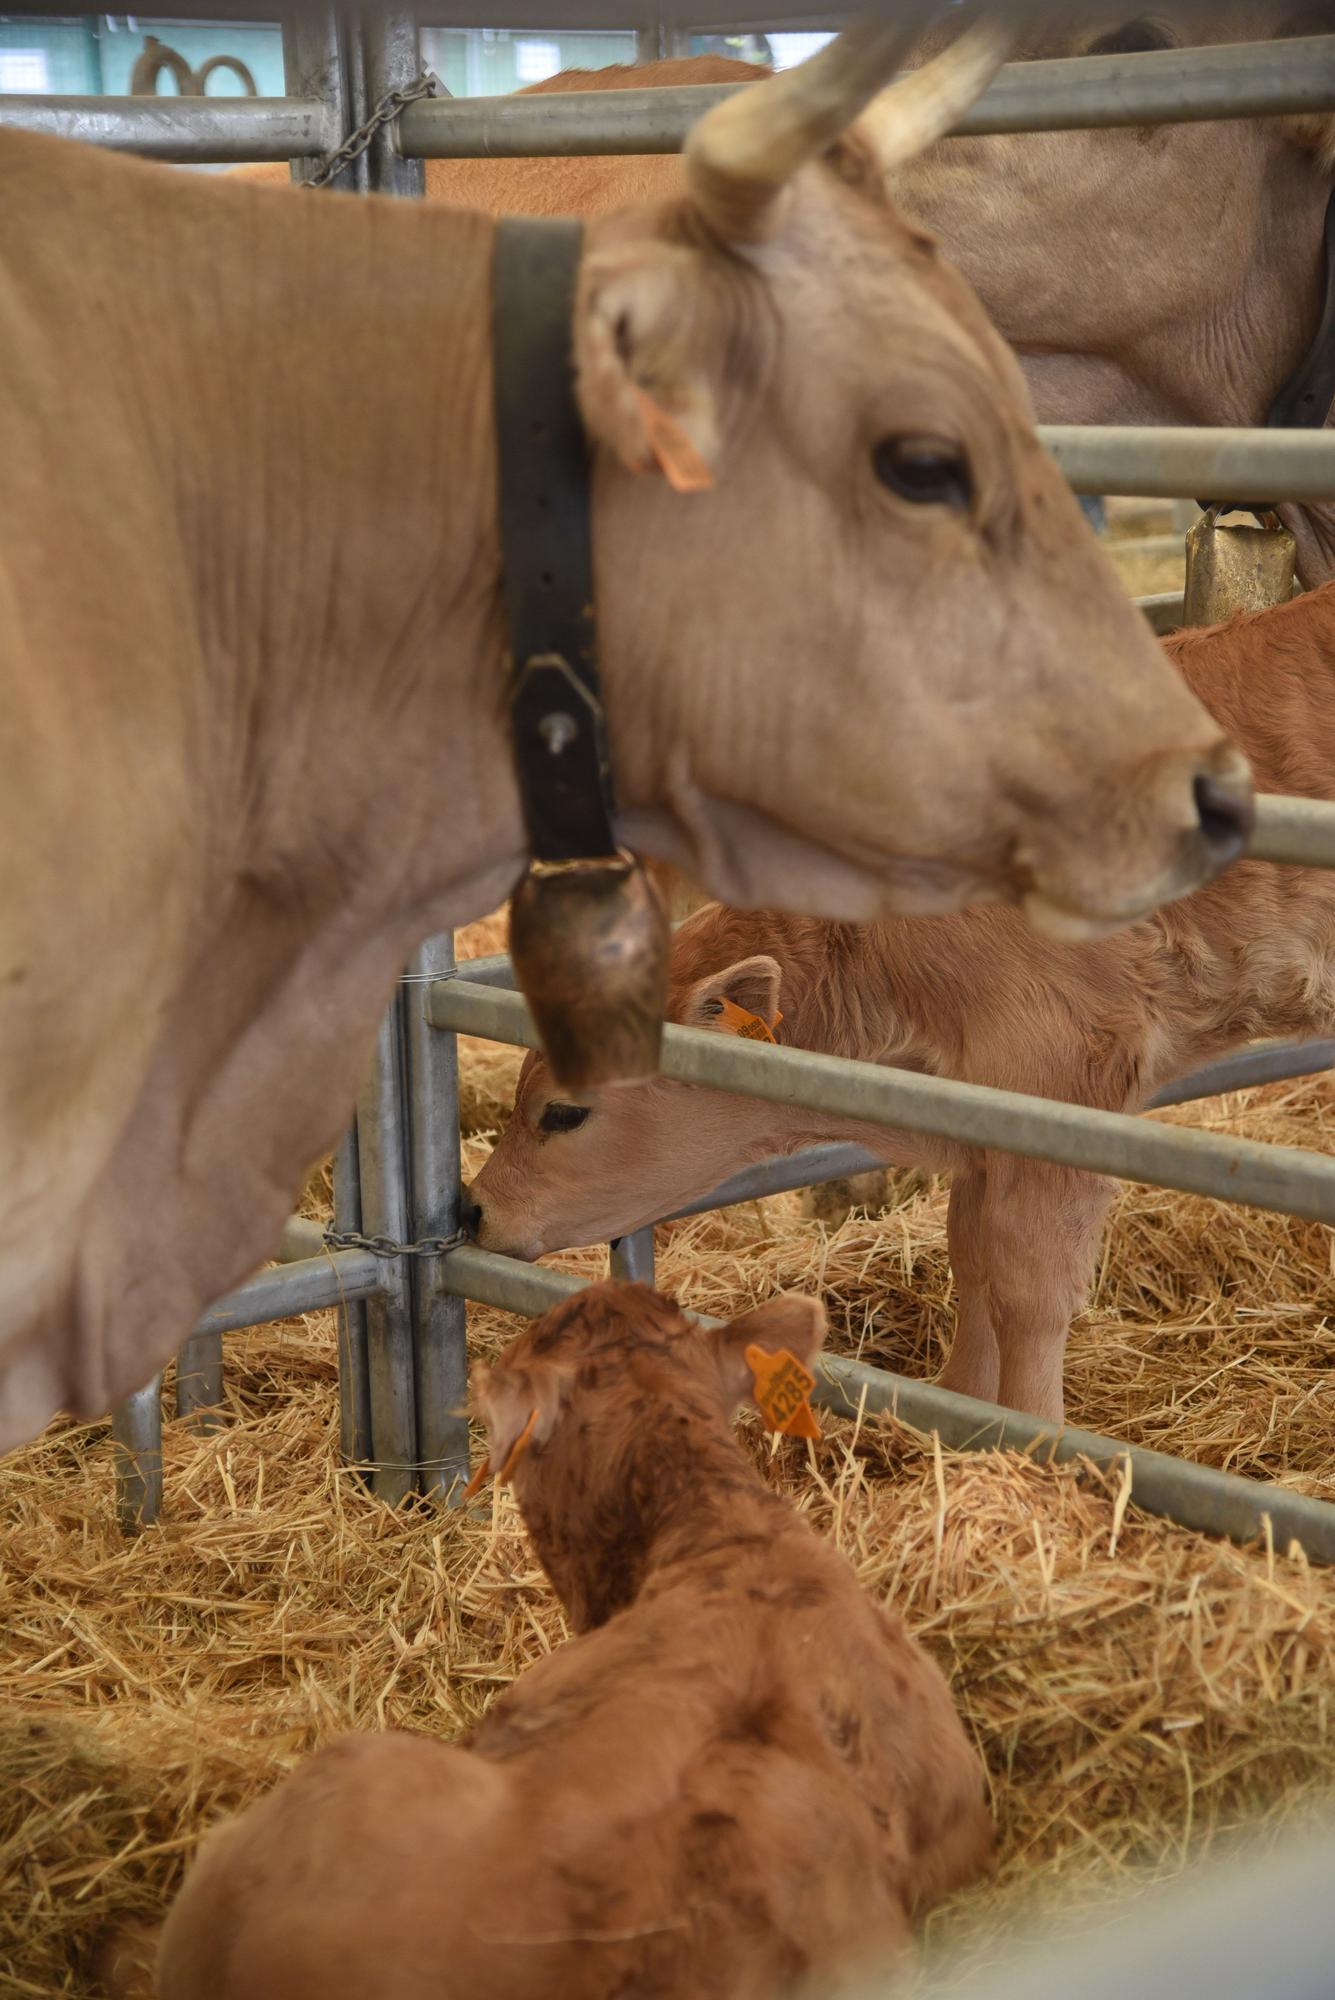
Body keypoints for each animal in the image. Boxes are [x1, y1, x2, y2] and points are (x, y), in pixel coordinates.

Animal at [463, 584, 1335, 1432]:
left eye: (563, 1113)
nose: (472, 1210)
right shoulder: (977, 1106)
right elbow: (972, 1256)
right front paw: (958, 1409)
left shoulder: (1060, 1078)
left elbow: (1029, 1285)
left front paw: (1036, 1442)